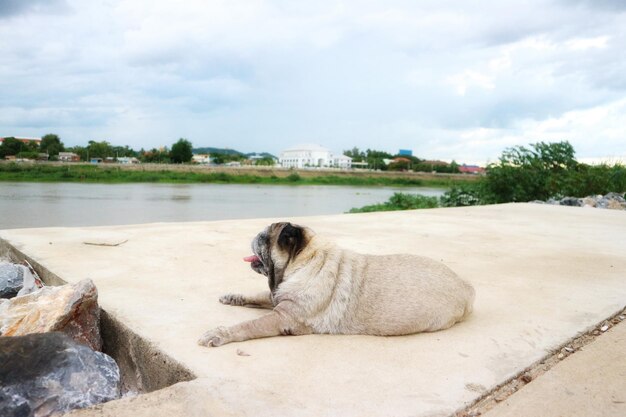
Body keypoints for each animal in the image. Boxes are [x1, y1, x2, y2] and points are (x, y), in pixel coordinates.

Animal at [197, 223, 476, 346]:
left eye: (264, 237)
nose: (255, 236)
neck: (306, 261)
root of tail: (465, 286)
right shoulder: (278, 296)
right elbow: (258, 295)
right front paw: (234, 297)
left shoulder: (281, 318)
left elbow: (248, 325)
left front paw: (221, 334)